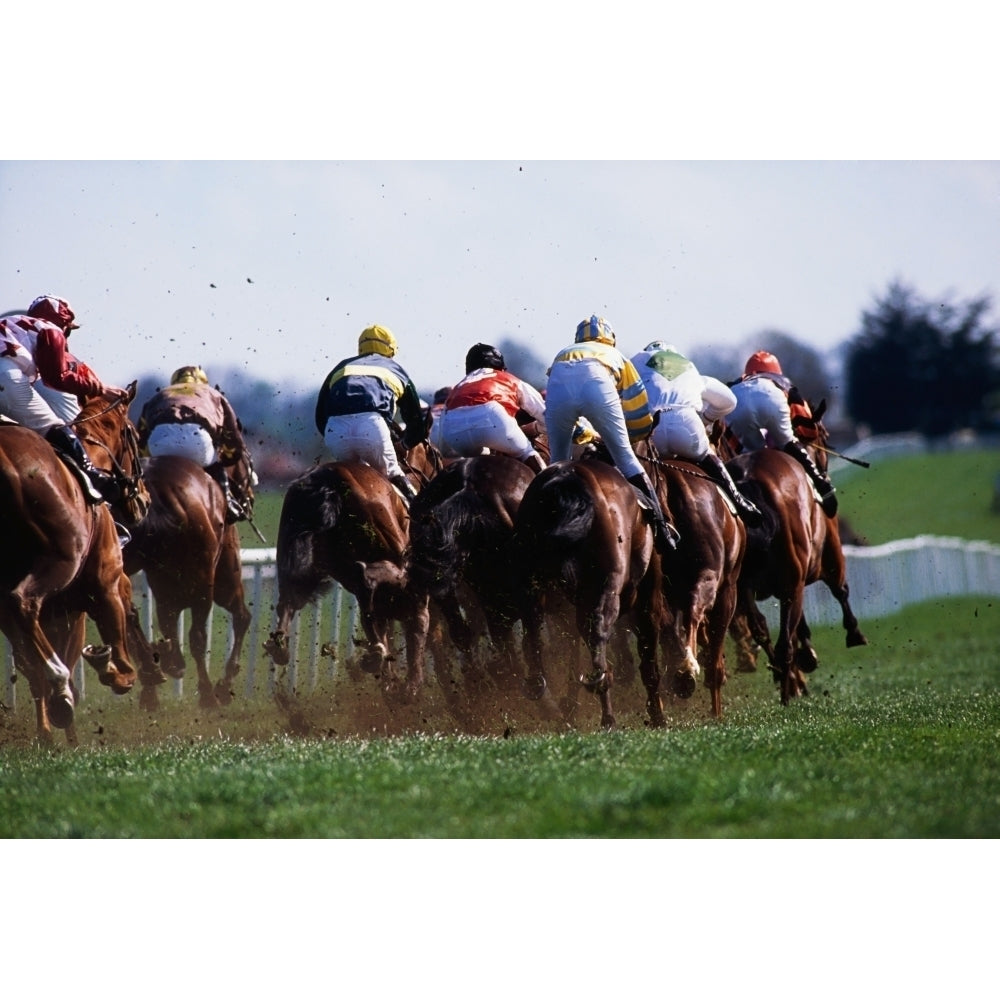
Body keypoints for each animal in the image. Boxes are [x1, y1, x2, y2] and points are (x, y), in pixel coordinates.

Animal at [0, 384, 150, 744]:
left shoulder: (66, 609)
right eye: (135, 435)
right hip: (61, 561)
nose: (144, 499)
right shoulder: (105, 588)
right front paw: (107, 666)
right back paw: (60, 684)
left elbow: (31, 666)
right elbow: (121, 661)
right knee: (23, 602)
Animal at [512, 458, 668, 732]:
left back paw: (537, 683)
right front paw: (658, 717)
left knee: (533, 623)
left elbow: (572, 647)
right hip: (607, 584)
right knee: (598, 629)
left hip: (532, 581)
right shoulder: (649, 597)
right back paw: (605, 704)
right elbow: (649, 661)